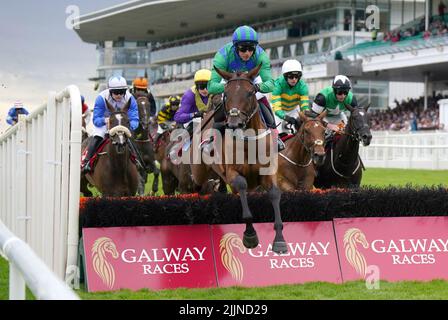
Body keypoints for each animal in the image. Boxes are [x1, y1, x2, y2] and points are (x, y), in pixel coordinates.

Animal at [193, 65, 288, 255]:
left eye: (250, 93)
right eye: (226, 94)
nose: (234, 123)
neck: (249, 142)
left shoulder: (268, 171)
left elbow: (274, 193)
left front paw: (280, 240)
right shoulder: (232, 173)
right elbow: (242, 186)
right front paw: (250, 235)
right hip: (199, 172)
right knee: (198, 188)